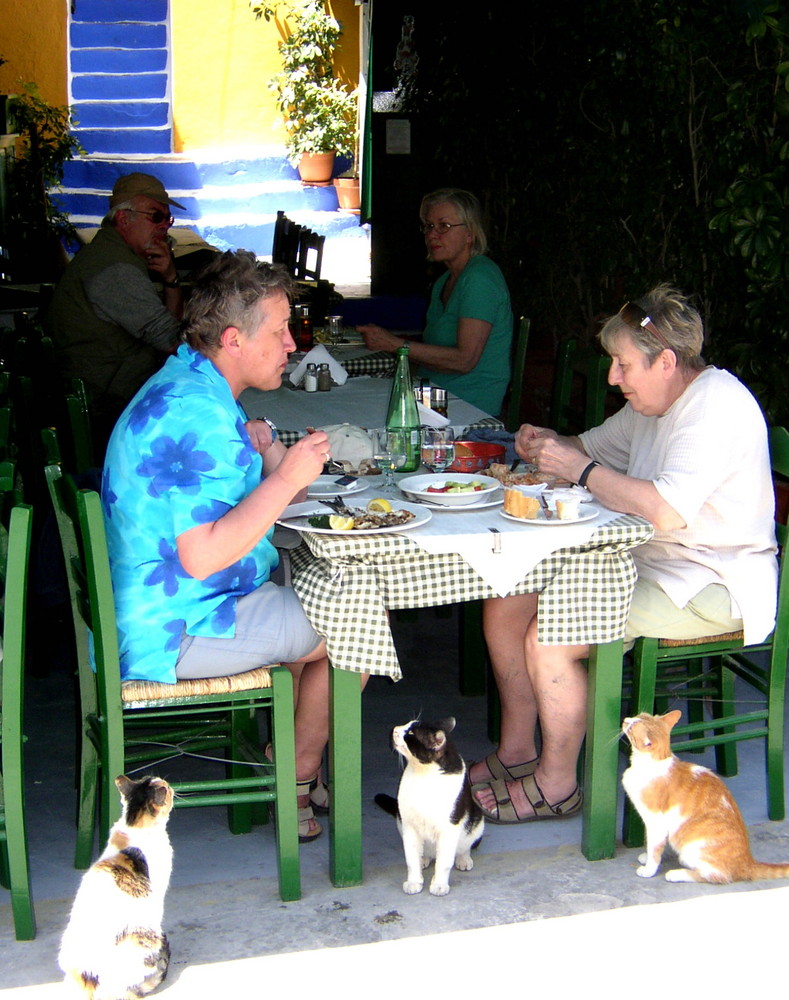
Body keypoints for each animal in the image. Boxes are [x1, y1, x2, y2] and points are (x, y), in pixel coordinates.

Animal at [374, 720, 480, 900]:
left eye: (411, 733)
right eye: (407, 725)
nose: (394, 729)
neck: (423, 774)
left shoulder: (449, 829)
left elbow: (444, 863)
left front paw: (439, 885)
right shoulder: (408, 825)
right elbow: (411, 859)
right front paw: (414, 882)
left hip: (476, 819)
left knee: (465, 846)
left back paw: (463, 859)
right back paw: (424, 858)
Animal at [620, 712, 788, 884]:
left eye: (632, 726)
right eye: (638, 715)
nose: (626, 719)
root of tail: (748, 862)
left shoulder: (655, 822)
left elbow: (654, 847)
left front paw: (649, 868)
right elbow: (652, 846)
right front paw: (646, 858)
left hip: (694, 848)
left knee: (715, 876)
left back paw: (676, 874)